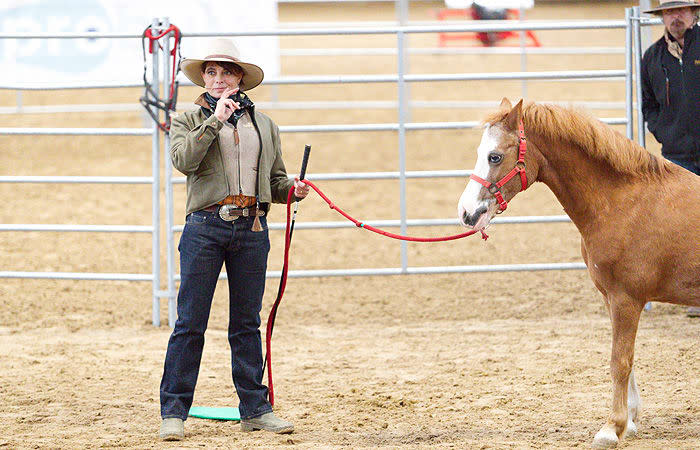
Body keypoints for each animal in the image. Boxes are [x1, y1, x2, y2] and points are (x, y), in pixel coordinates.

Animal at [456, 98, 696, 446]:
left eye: (495, 156)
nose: (466, 212)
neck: (625, 201)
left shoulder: (626, 299)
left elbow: (619, 361)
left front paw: (611, 428)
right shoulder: (612, 298)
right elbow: (627, 359)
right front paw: (630, 421)